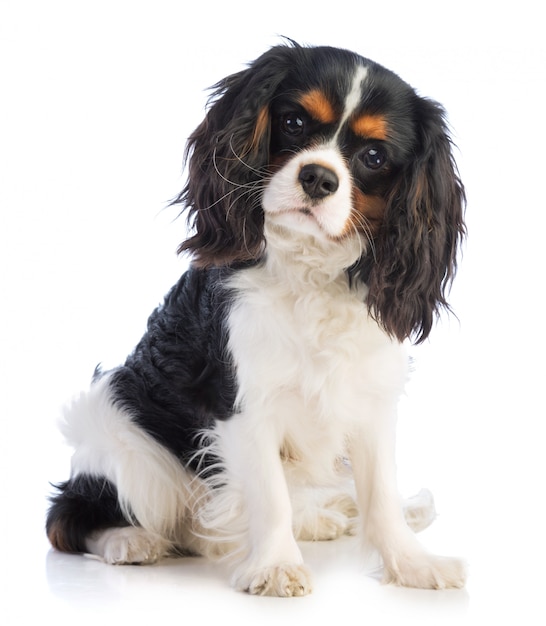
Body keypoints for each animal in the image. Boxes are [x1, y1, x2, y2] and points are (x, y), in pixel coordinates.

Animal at [45, 44, 464, 596]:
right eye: (293, 121)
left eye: (374, 157)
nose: (318, 177)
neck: (309, 268)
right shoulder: (242, 403)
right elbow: (268, 492)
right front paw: (275, 565)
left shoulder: (371, 397)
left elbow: (381, 495)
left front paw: (412, 564)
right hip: (118, 429)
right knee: (70, 514)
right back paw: (128, 540)